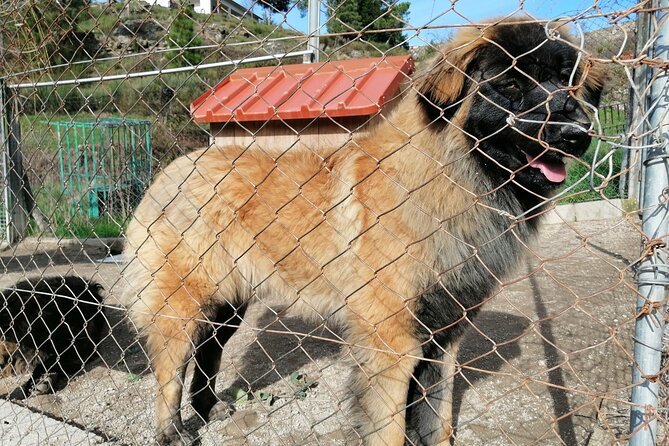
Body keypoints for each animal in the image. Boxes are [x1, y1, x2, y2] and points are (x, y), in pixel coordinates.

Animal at [122, 16, 604, 446]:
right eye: (511, 84)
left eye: (568, 83)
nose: (579, 134)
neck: (451, 174)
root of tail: (172, 169)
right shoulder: (392, 345)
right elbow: (389, 429)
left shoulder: (443, 339)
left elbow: (436, 420)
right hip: (184, 302)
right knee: (171, 368)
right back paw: (170, 431)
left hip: (230, 302)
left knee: (208, 352)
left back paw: (208, 409)